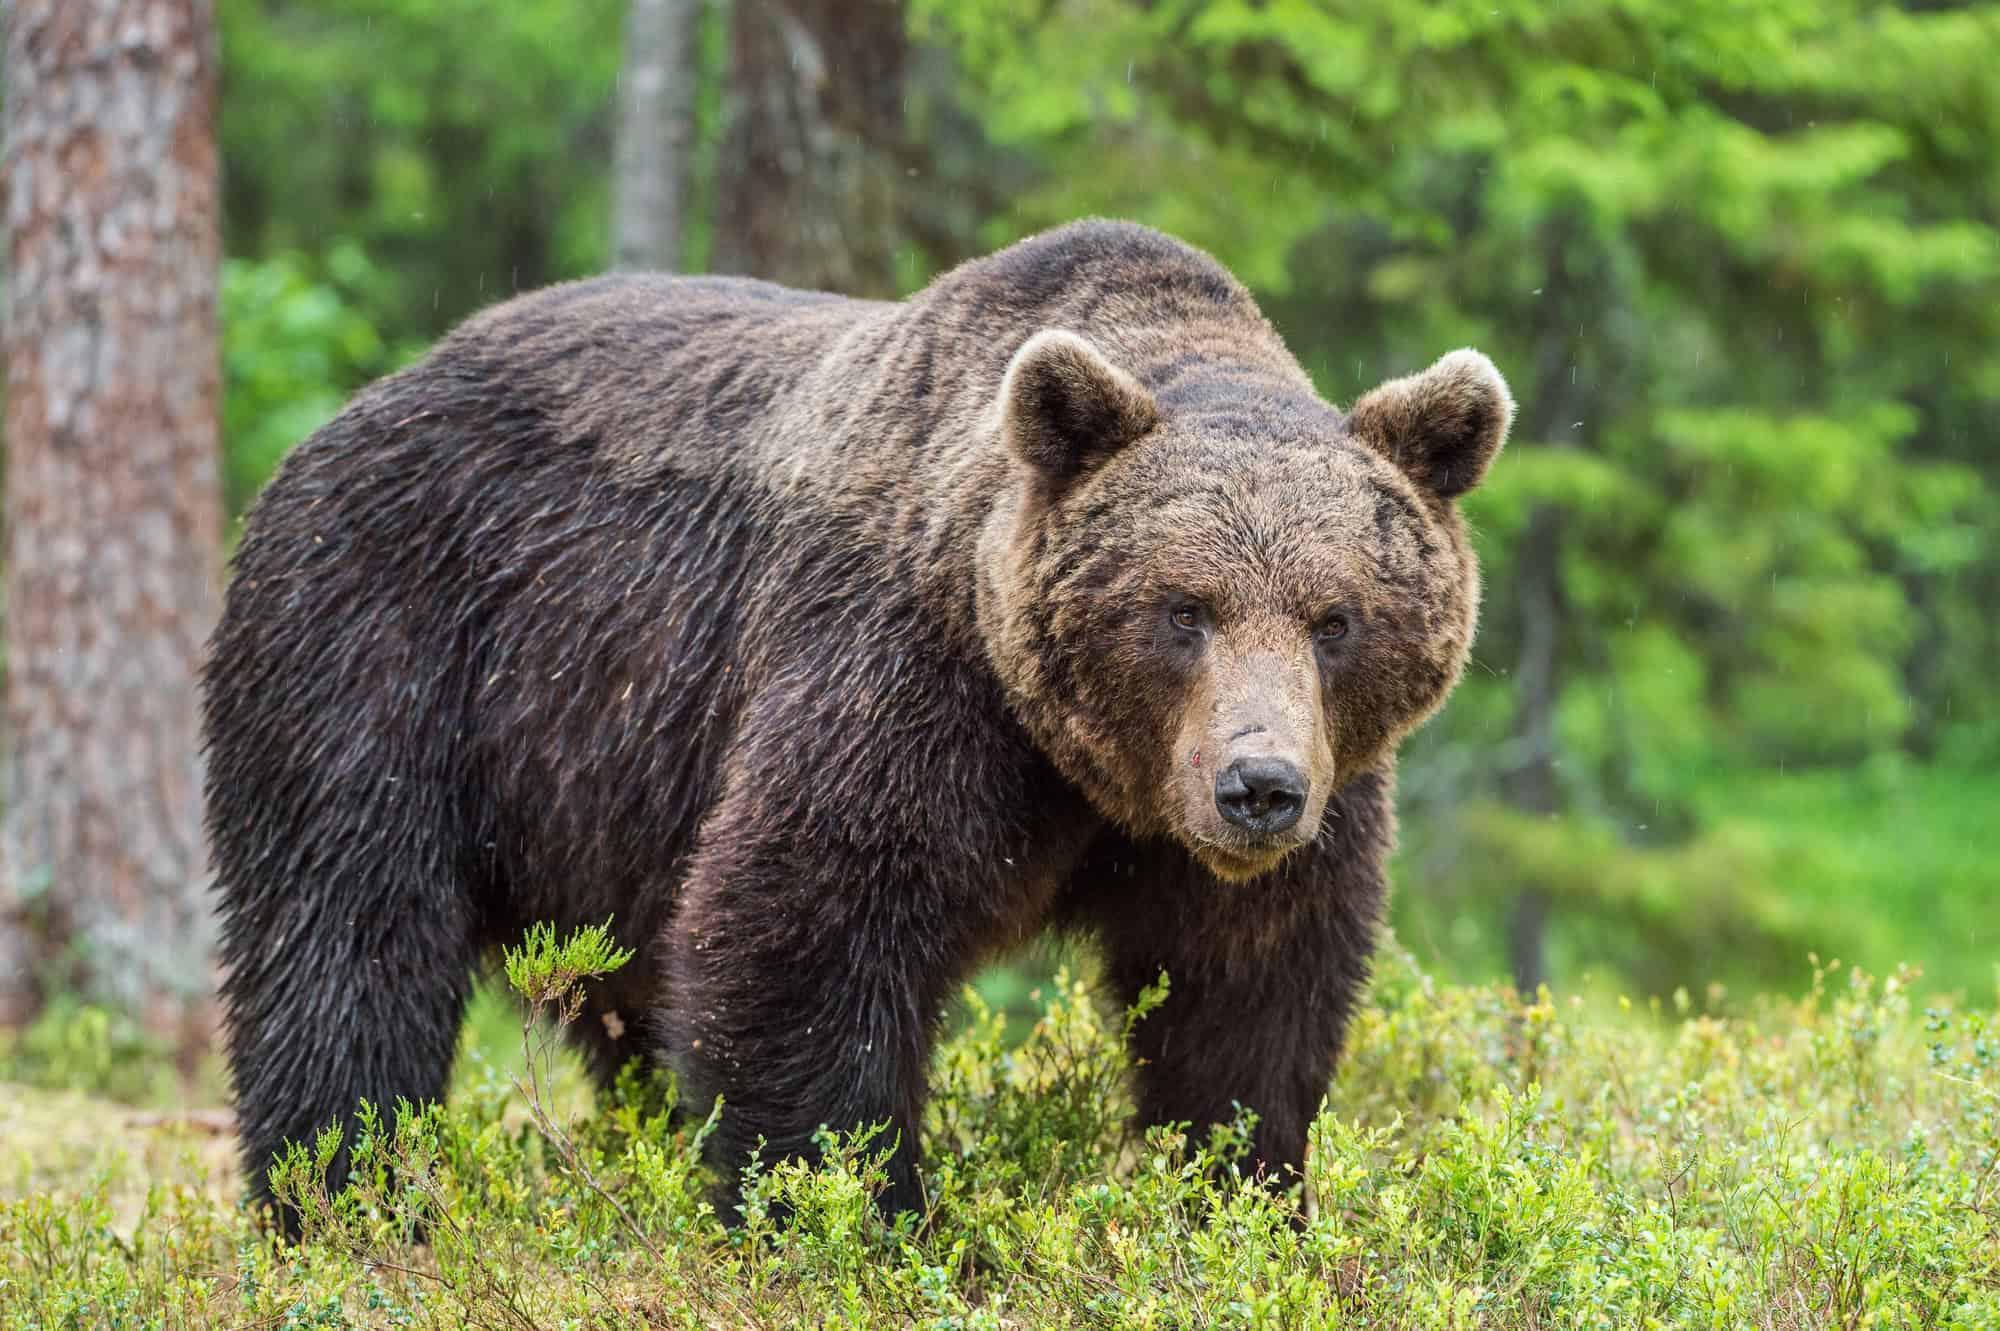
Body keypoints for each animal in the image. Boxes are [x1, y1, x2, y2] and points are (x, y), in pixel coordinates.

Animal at [203, 219, 1513, 1231]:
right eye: (1180, 608)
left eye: (1333, 616)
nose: (1259, 786)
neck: (1087, 768)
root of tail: (358, 404)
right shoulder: (904, 682)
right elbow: (806, 925)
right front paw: (856, 1215)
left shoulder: (1292, 808)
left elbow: (1247, 997)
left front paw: (1237, 1197)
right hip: (392, 642)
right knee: (350, 937)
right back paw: (347, 1200)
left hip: (591, 801)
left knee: (611, 1000)